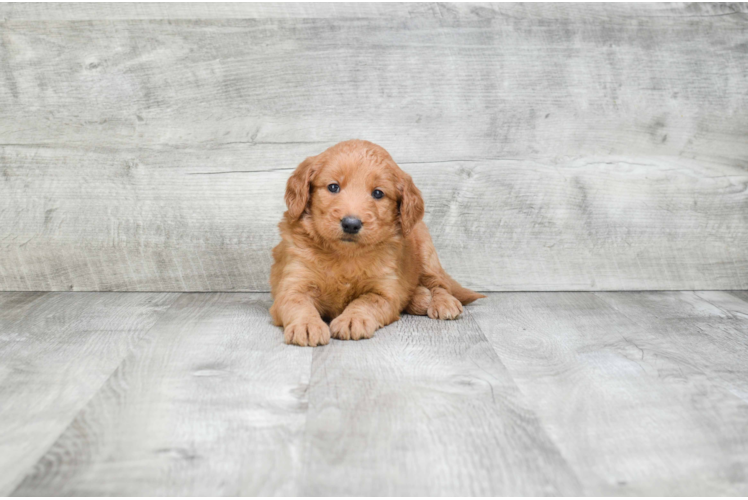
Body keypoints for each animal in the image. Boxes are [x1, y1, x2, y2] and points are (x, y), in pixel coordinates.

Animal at [268, 139, 486, 346]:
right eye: (333, 187)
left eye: (378, 193)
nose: (351, 224)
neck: (345, 255)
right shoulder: (294, 283)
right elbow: (298, 303)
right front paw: (306, 325)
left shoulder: (384, 291)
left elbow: (366, 301)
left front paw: (352, 319)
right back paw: (420, 298)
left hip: (427, 253)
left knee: (440, 284)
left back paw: (443, 302)